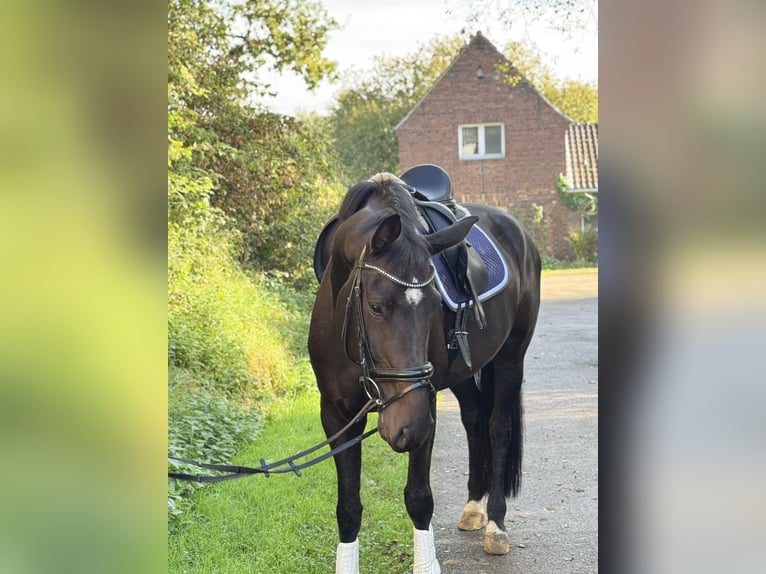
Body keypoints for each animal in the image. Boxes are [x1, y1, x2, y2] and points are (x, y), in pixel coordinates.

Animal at [308, 173, 544, 572]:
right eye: (376, 306)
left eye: (435, 303)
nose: (406, 427)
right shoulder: (336, 415)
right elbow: (348, 507)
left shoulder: (425, 405)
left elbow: (419, 498)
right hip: (463, 373)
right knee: (475, 419)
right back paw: (473, 507)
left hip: (511, 358)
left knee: (498, 428)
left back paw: (496, 524)